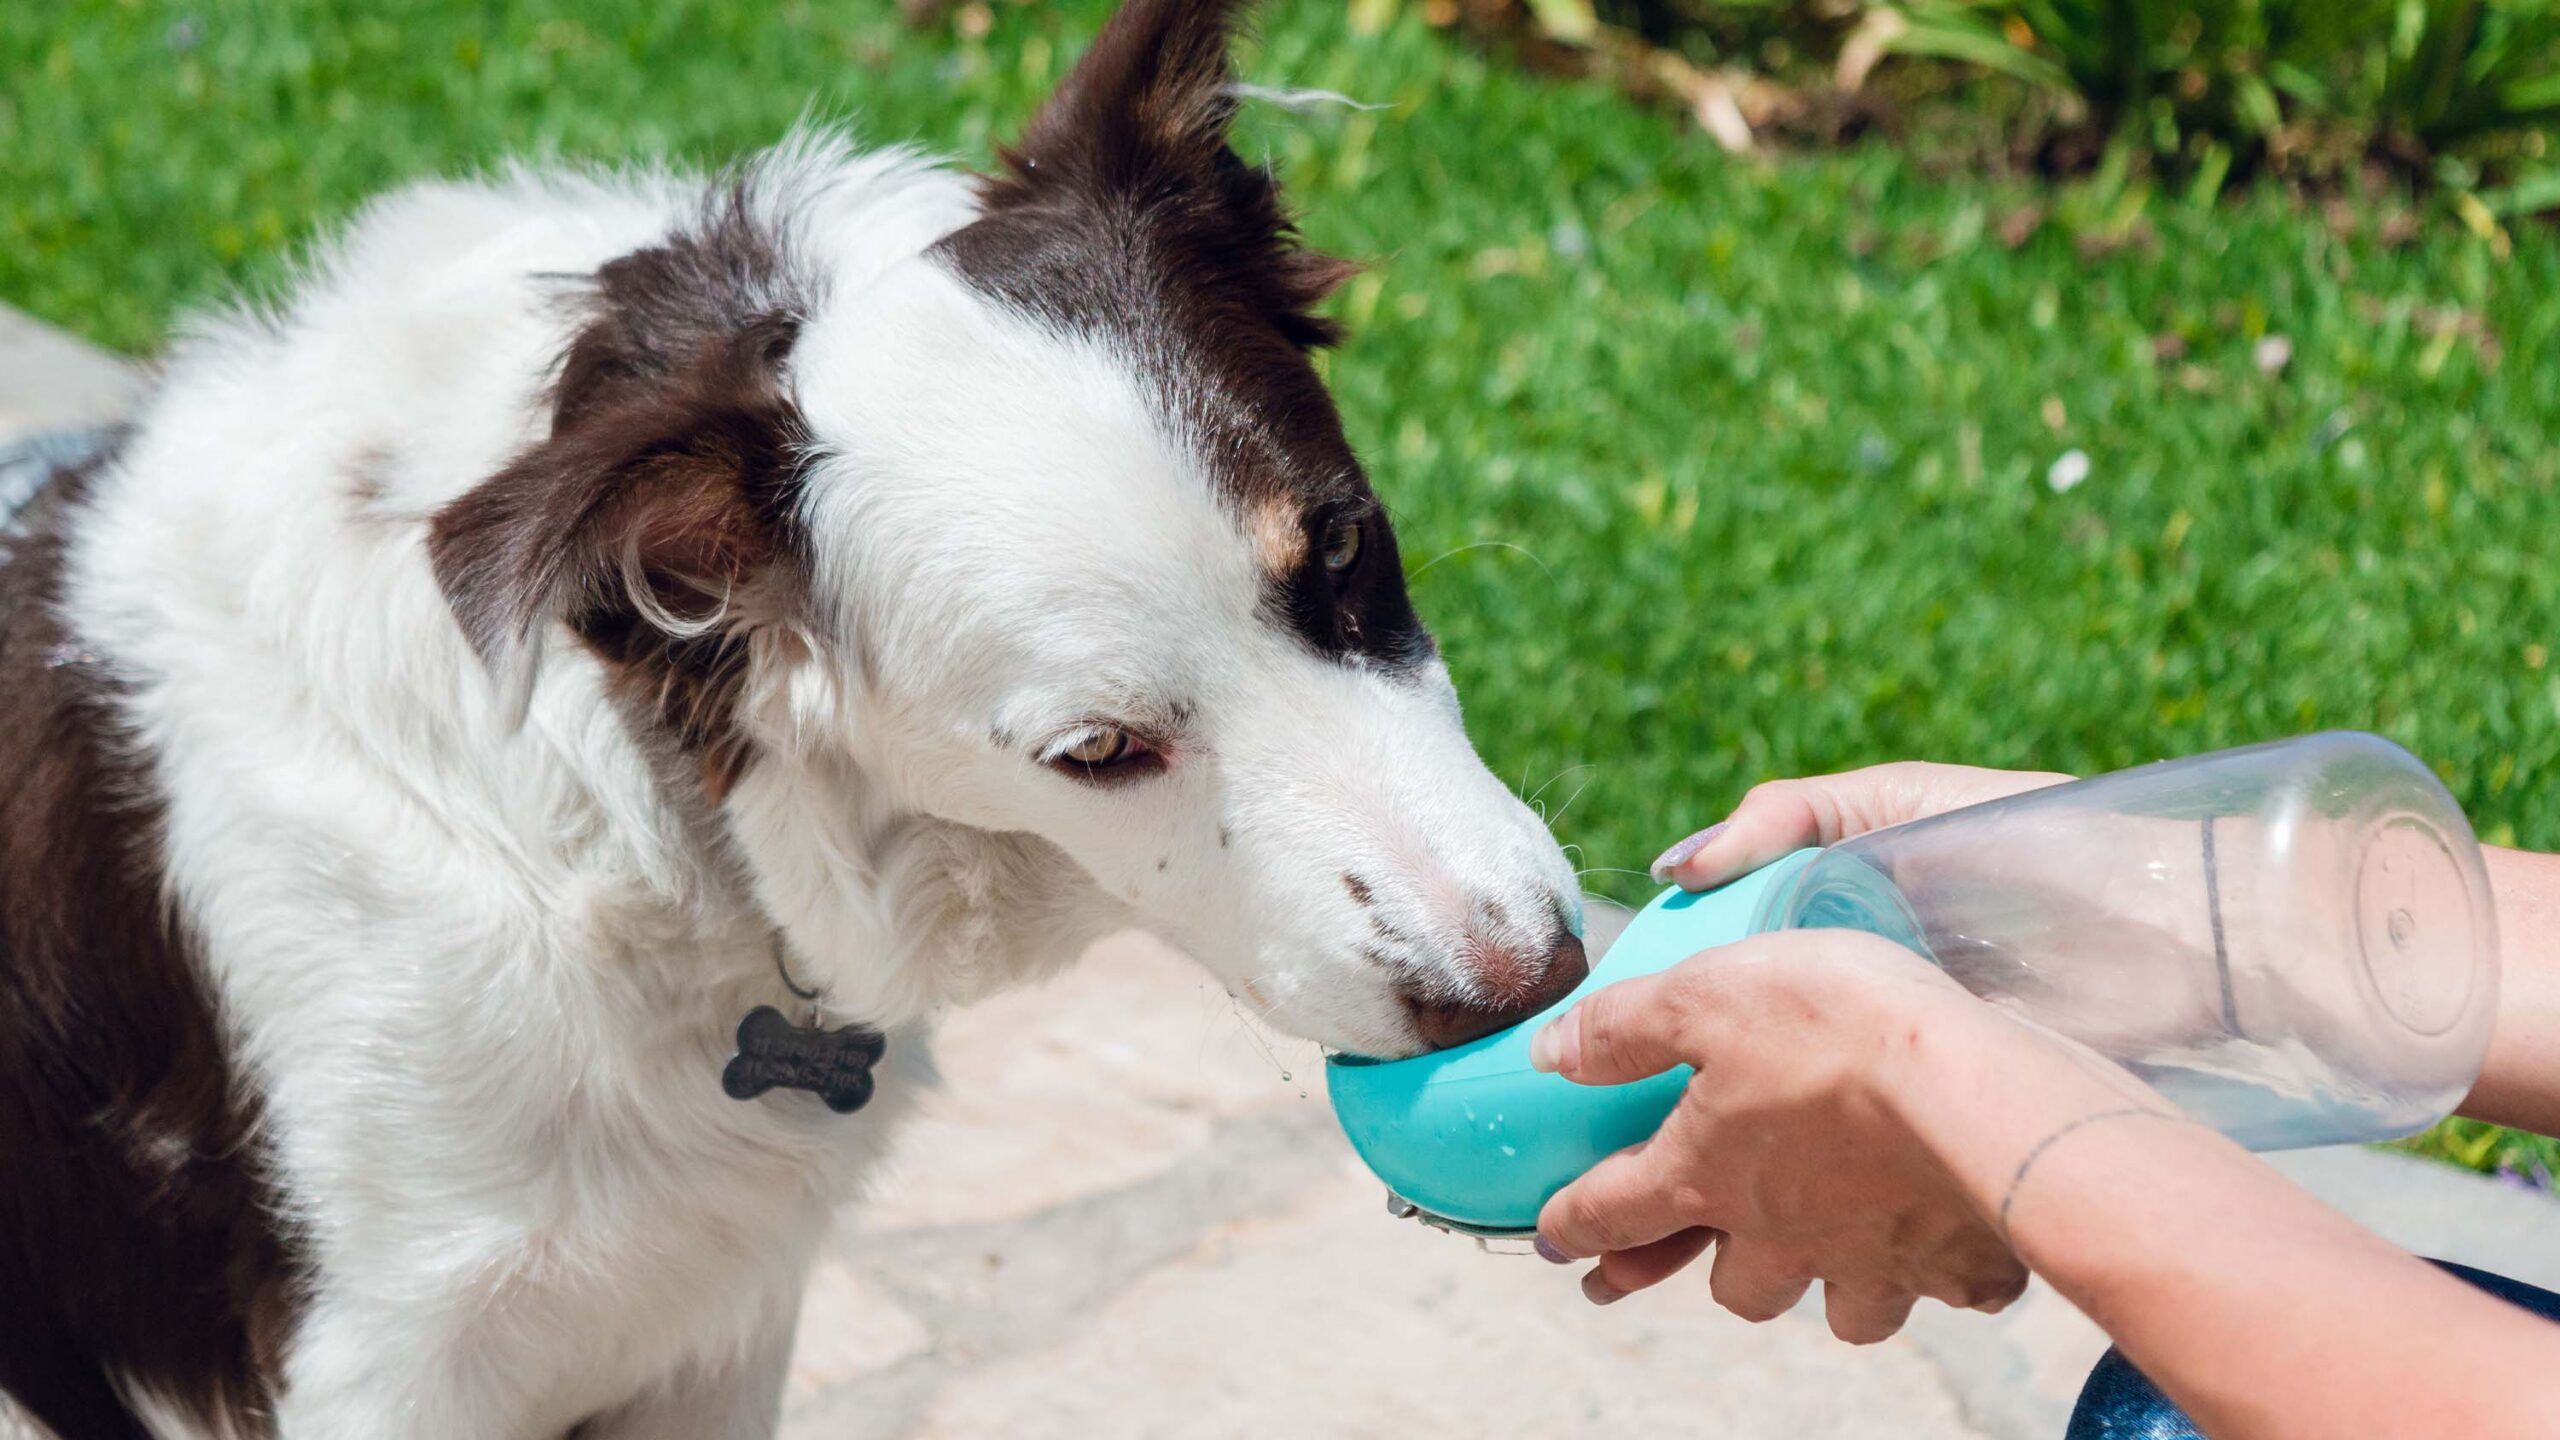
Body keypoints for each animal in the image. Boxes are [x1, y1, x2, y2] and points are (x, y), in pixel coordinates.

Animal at [0, 5, 1587, 1424]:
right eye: (1096, 753)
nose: (1529, 981)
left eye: (1345, 550)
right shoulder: (389, 1354)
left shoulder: (719, 1327)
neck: (646, 836)